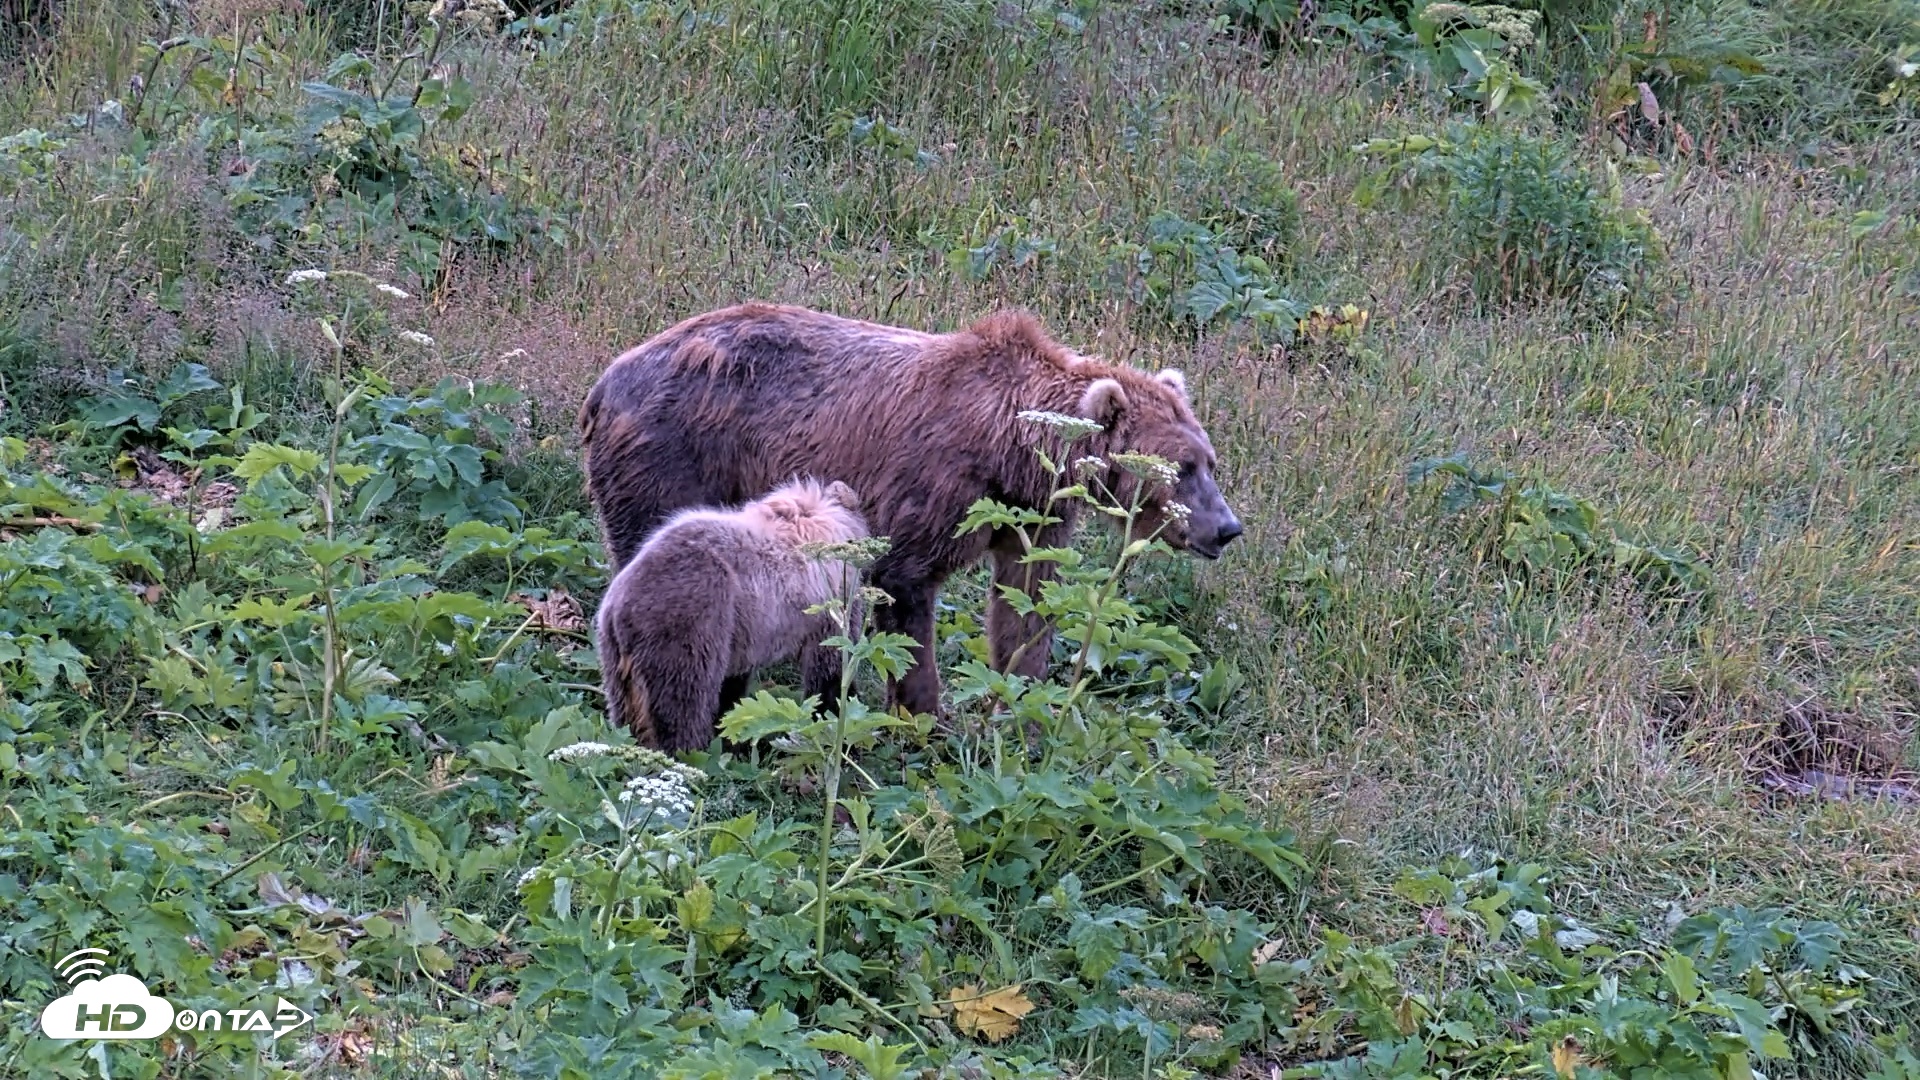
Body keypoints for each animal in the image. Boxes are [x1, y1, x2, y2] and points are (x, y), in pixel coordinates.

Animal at [579, 303, 1243, 719]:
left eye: (1210, 460)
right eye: (1183, 467)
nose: (1227, 528)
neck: (1014, 445)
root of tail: (606, 381)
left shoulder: (1028, 513)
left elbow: (1024, 605)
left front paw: (1021, 708)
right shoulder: (932, 486)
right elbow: (906, 591)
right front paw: (925, 715)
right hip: (672, 459)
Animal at [594, 477, 870, 752]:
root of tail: (621, 610)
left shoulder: (742, 629)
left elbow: (733, 686)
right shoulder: (826, 606)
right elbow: (830, 668)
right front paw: (838, 721)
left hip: (614, 658)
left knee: (625, 712)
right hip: (686, 628)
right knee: (683, 707)